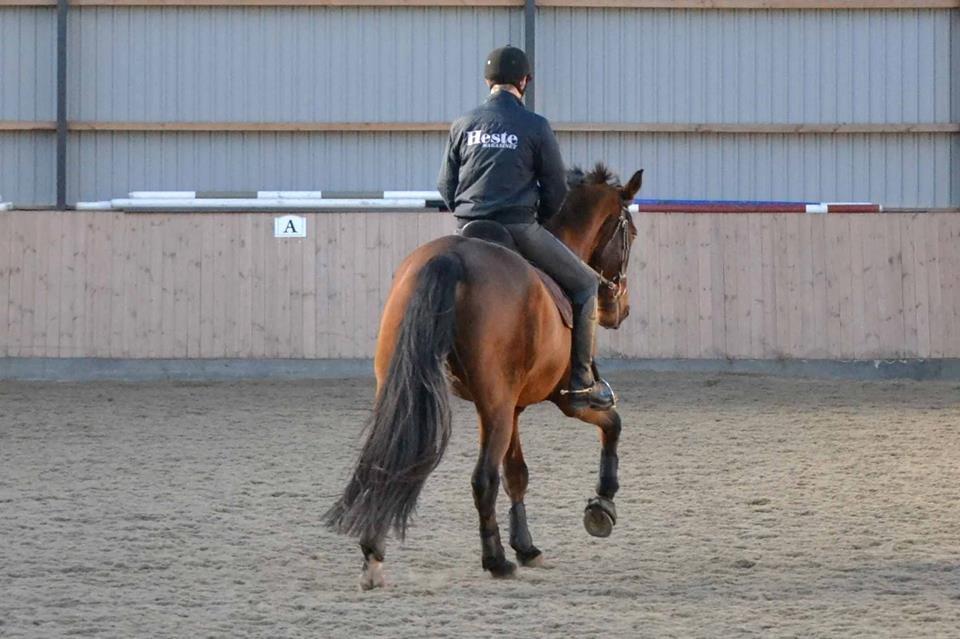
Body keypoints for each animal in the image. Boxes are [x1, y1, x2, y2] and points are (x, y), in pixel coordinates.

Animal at [324, 165, 644, 592]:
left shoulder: (512, 407)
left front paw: (526, 547)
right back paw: (495, 561)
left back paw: (373, 556)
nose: (619, 310)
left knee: (387, 457)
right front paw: (602, 505)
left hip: (415, 393)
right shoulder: (563, 399)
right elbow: (612, 424)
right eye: (631, 234)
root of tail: (450, 257)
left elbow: (517, 474)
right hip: (497, 405)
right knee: (482, 479)